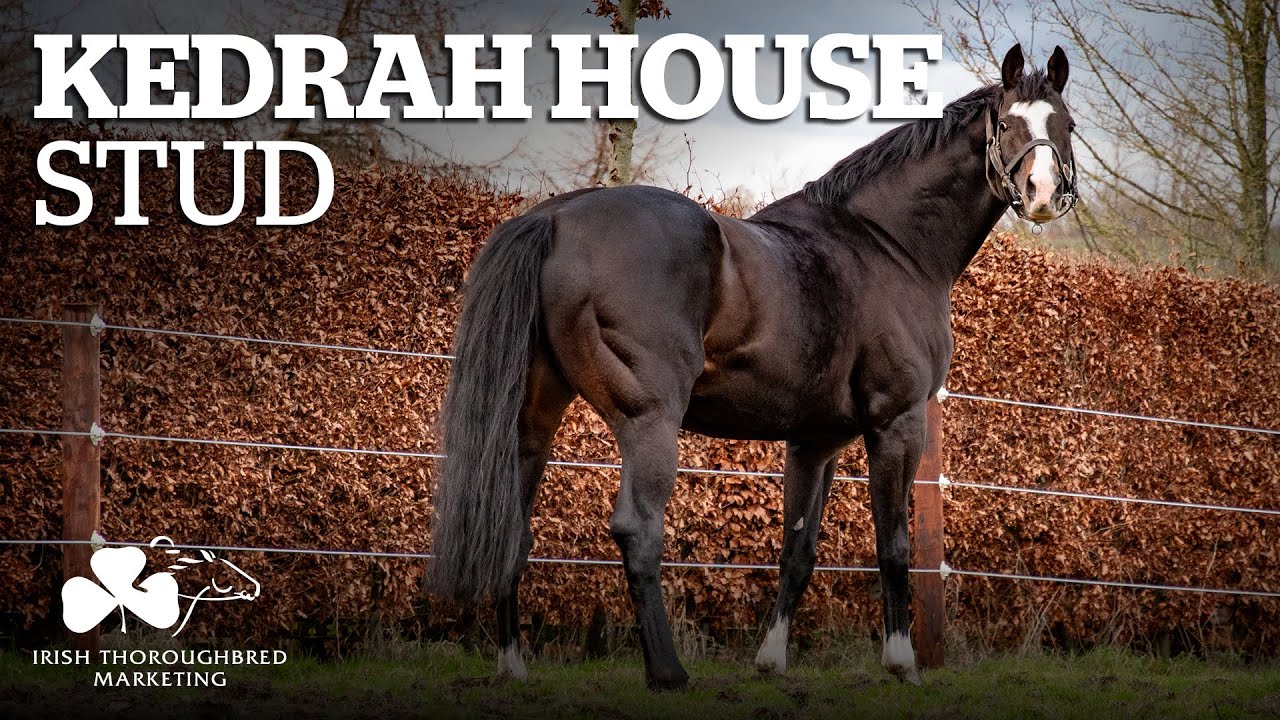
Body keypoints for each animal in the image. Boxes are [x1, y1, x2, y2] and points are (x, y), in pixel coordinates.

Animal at [430, 43, 1078, 689]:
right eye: (1008, 124)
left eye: (1065, 125)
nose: (1043, 194)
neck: (887, 245)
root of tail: (557, 218)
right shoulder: (897, 422)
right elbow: (892, 544)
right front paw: (901, 663)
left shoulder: (815, 442)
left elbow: (798, 551)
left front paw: (772, 659)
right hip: (649, 420)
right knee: (638, 529)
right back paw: (667, 672)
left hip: (533, 419)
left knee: (514, 529)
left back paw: (513, 664)